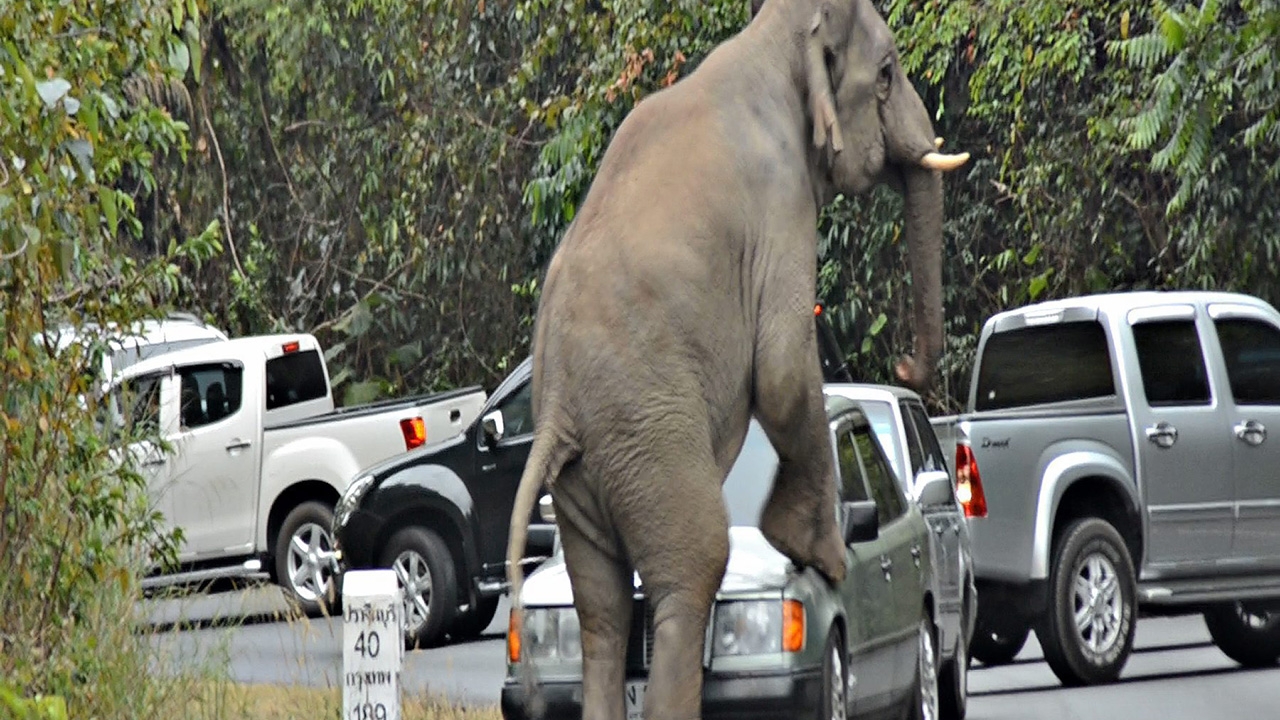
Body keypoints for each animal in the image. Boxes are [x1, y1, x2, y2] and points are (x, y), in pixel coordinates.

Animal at [504, 0, 962, 712]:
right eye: (886, 74)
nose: (906, 371)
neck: (772, 37)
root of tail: (552, 414)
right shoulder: (780, 205)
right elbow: (781, 371)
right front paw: (821, 556)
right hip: (651, 437)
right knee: (691, 571)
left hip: (584, 476)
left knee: (601, 607)